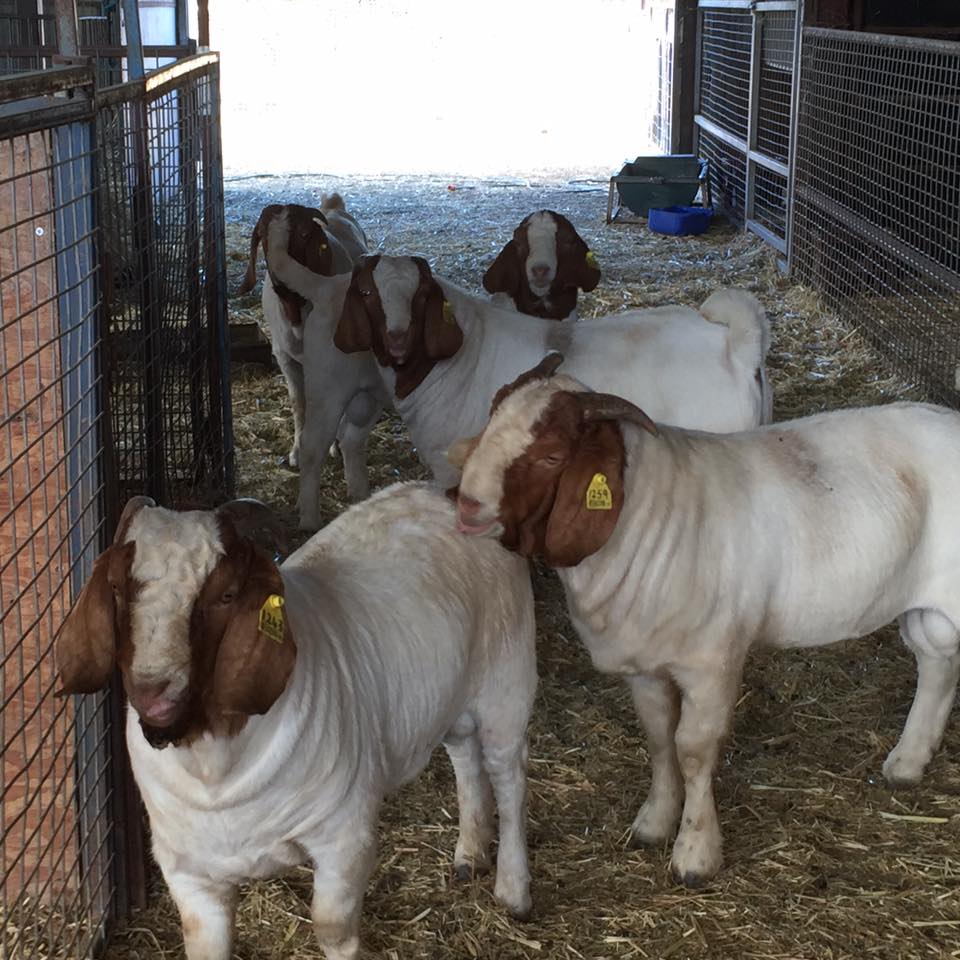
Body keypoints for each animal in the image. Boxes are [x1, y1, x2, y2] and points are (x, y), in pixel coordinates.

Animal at [56, 489, 536, 960]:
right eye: (115, 587)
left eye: (226, 595)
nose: (153, 689)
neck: (217, 774)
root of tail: (451, 494)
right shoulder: (188, 872)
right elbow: (203, 941)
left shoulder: (343, 837)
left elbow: (332, 928)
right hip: (455, 700)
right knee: (465, 758)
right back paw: (470, 853)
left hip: (507, 687)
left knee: (509, 781)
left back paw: (514, 891)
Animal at [239, 201, 386, 501]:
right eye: (262, 236)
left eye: (305, 234)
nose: (280, 279)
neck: (296, 309)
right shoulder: (285, 359)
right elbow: (299, 403)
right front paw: (296, 451)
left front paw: (334, 446)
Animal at [264, 214, 772, 496]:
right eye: (368, 293)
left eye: (421, 296)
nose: (397, 339)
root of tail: (738, 346)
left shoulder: (451, 465)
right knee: (344, 440)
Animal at [450, 355, 960, 887]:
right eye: (489, 421)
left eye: (551, 455)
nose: (466, 504)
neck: (643, 515)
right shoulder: (646, 665)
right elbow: (658, 738)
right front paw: (654, 822)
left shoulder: (712, 662)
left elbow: (692, 749)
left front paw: (695, 852)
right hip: (927, 610)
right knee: (937, 662)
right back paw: (908, 761)